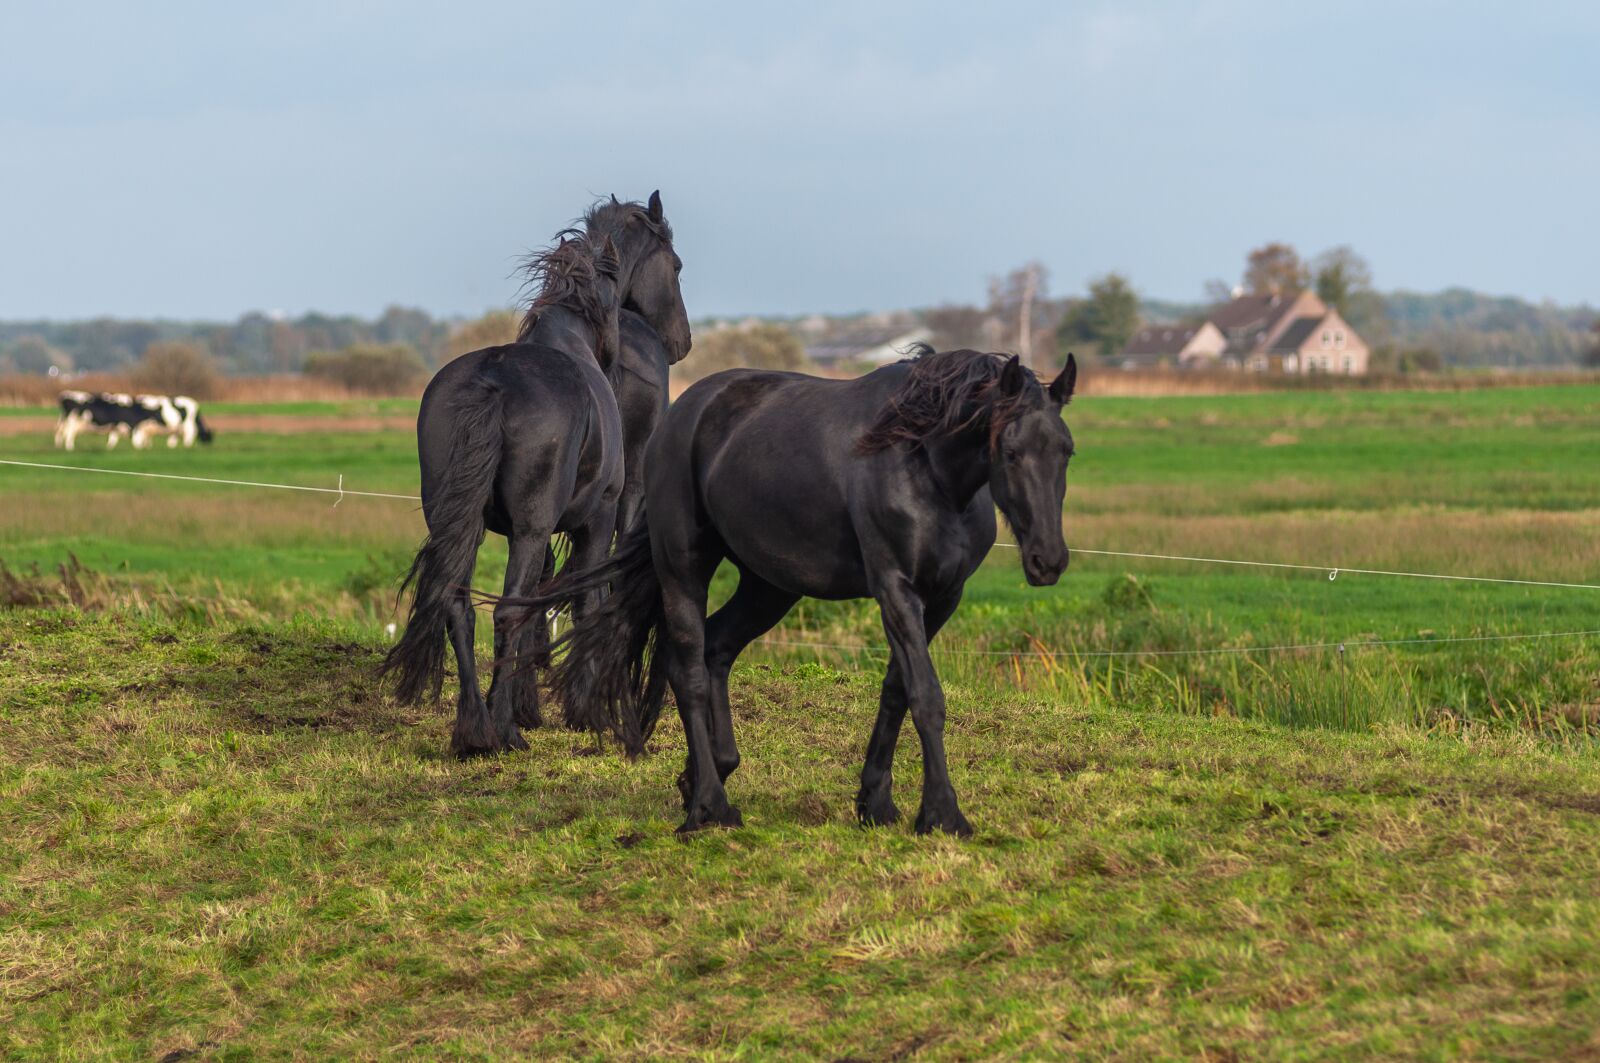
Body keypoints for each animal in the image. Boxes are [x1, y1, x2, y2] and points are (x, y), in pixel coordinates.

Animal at [514, 345, 1077, 835]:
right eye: (1010, 451)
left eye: (1066, 451)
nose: (1048, 561)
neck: (925, 469)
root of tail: (684, 413)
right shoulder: (895, 589)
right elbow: (926, 696)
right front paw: (942, 815)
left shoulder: (942, 597)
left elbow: (897, 690)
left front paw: (877, 803)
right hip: (684, 568)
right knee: (689, 667)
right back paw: (709, 808)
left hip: (768, 586)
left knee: (717, 650)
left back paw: (705, 775)